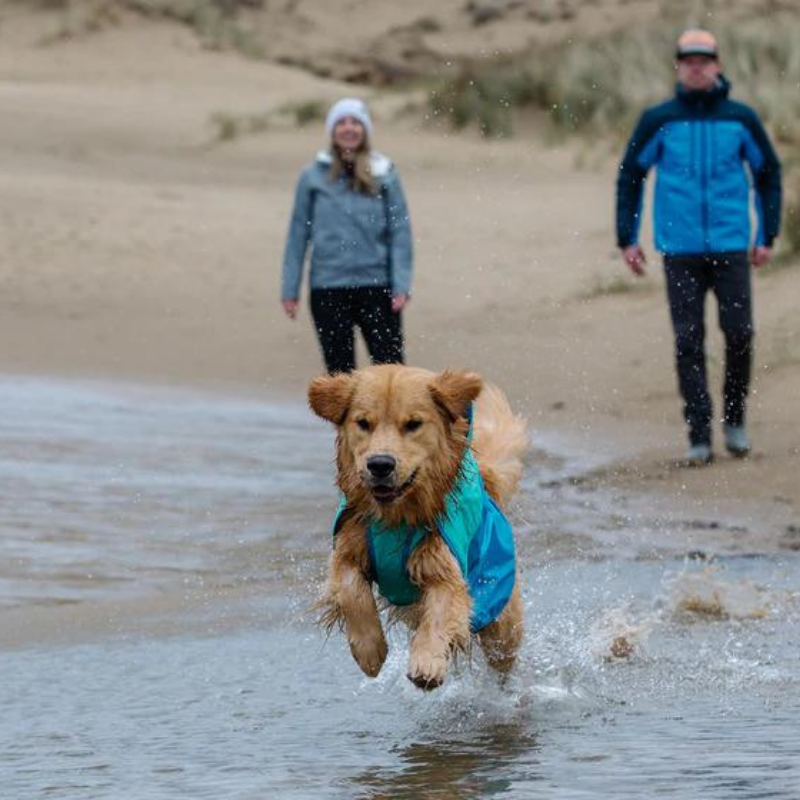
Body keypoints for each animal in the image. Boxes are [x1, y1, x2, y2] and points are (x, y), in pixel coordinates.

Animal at [310, 366, 528, 692]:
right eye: (363, 423)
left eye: (413, 424)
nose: (380, 464)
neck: (395, 519)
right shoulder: (348, 547)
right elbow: (351, 592)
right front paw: (370, 651)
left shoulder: (443, 567)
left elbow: (440, 613)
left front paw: (427, 663)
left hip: (500, 610)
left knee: (503, 653)